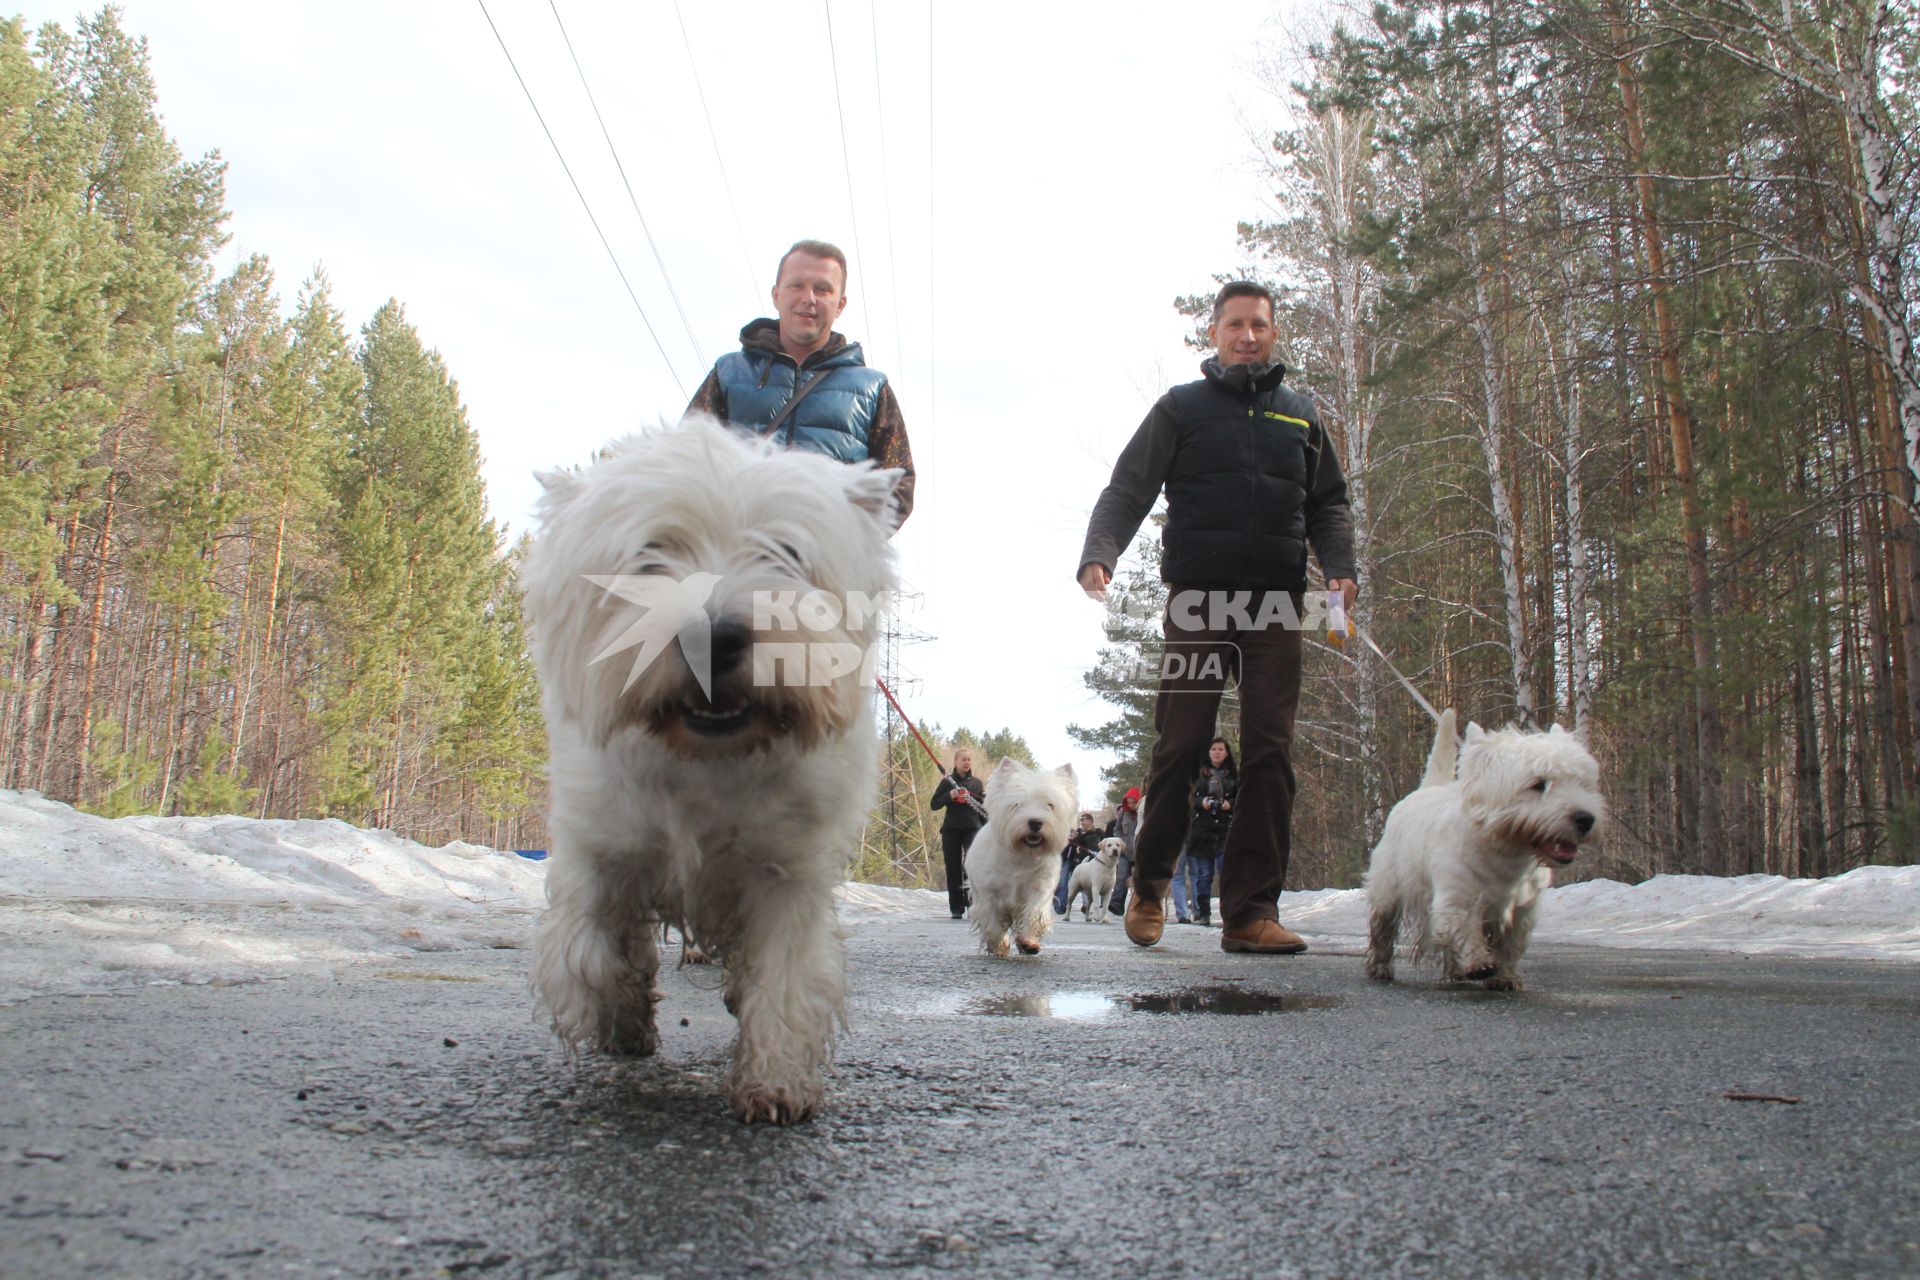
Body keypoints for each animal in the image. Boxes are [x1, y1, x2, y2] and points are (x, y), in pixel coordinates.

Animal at [522, 420, 902, 1120]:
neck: (708, 761)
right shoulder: (599, 845)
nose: (713, 637)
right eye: (649, 553)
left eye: (786, 552)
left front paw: (775, 1083)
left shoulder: (788, 869)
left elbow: (785, 972)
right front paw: (620, 1016)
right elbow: (590, 949)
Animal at [960, 756, 1082, 955]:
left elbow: (1035, 914)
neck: (1022, 856)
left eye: (1050, 805)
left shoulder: (1040, 888)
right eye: (1017, 804)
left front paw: (1029, 942)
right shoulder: (989, 894)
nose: (1035, 822)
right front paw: (1000, 946)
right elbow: (993, 922)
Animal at [1367, 710, 1605, 990]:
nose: (1585, 819)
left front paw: (1504, 977)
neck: (1505, 853)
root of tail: (1427, 788)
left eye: (1581, 783)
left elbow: (1511, 943)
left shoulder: (1522, 908)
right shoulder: (1458, 898)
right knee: (1383, 927)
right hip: (1388, 886)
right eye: (1539, 784)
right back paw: (1381, 967)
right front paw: (1480, 964)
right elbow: (1464, 929)